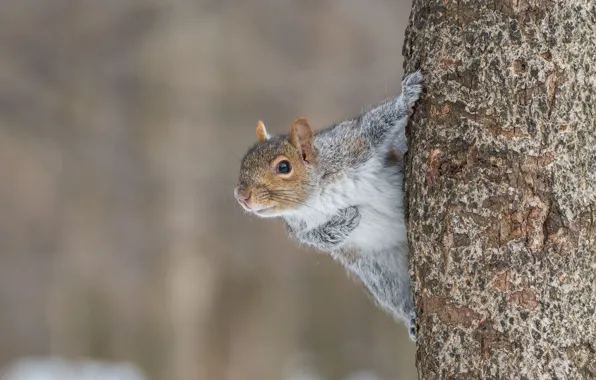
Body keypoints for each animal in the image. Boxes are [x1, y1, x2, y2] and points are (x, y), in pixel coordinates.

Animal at [233, 72, 424, 342]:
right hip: (380, 273)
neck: (318, 194)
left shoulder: (353, 145)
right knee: (397, 298)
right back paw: (411, 318)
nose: (241, 196)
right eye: (244, 162)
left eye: (283, 167)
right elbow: (318, 239)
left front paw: (406, 96)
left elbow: (374, 125)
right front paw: (347, 218)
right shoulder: (297, 227)